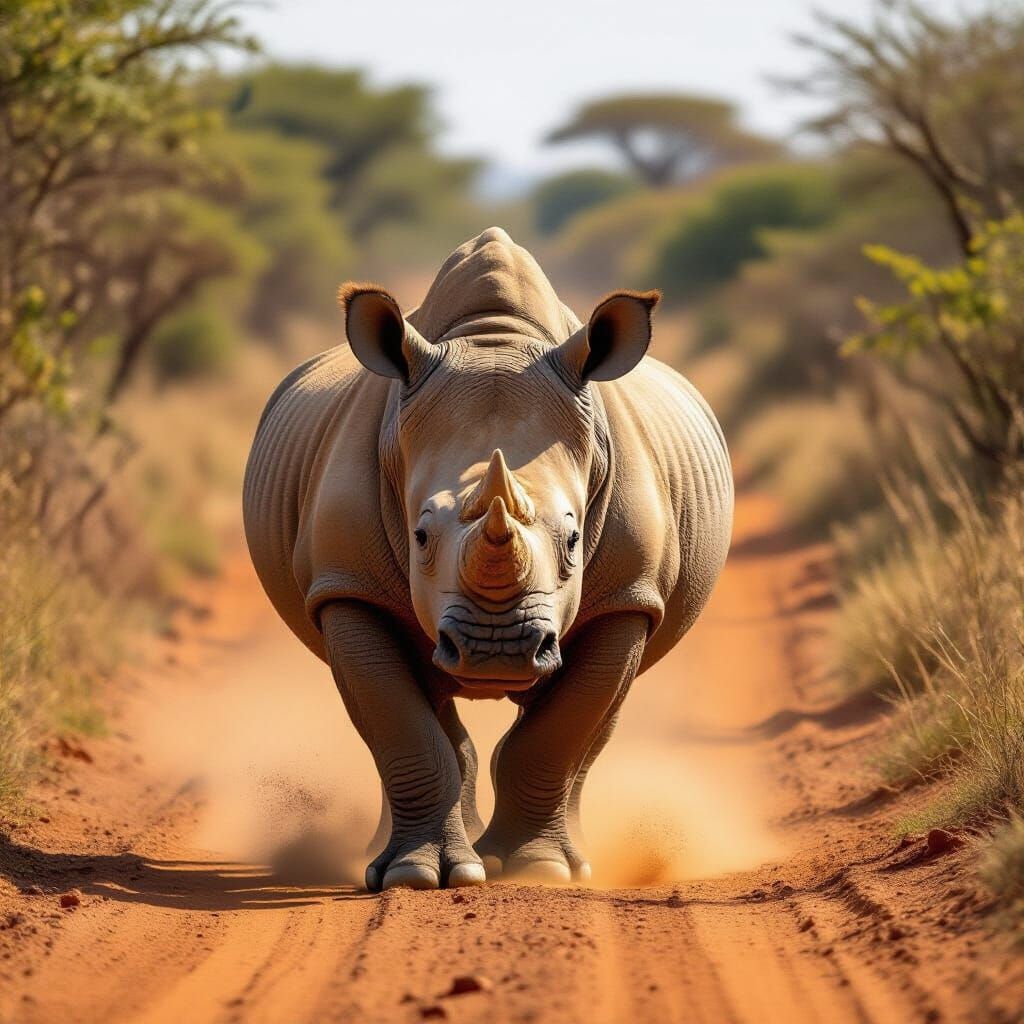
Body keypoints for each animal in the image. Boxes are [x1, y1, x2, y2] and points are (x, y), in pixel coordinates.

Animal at [243, 227, 733, 891]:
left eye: (573, 540)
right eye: (420, 536)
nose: (496, 651)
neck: (493, 340)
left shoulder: (628, 596)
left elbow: (559, 734)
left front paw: (536, 870)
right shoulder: (346, 585)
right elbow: (401, 725)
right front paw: (415, 877)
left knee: (592, 726)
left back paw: (572, 859)